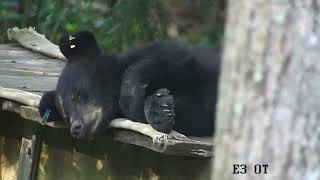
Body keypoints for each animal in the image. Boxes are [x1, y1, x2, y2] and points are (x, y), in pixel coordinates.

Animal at [38, 30, 220, 139]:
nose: (76, 129)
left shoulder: (182, 57)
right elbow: (196, 116)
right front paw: (161, 109)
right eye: (66, 116)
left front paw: (138, 101)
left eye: (77, 94)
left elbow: (168, 59)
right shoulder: (200, 113)